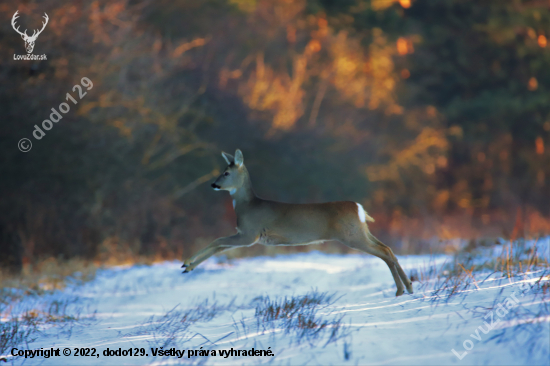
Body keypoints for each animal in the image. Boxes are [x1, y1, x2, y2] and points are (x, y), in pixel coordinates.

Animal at [182, 150, 414, 296]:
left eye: (226, 172)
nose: (213, 184)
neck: (247, 206)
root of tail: (359, 207)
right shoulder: (246, 235)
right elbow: (220, 246)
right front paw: (188, 267)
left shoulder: (250, 233)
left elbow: (218, 240)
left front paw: (186, 263)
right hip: (361, 231)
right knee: (388, 248)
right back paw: (409, 286)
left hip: (352, 235)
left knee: (384, 252)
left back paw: (401, 290)